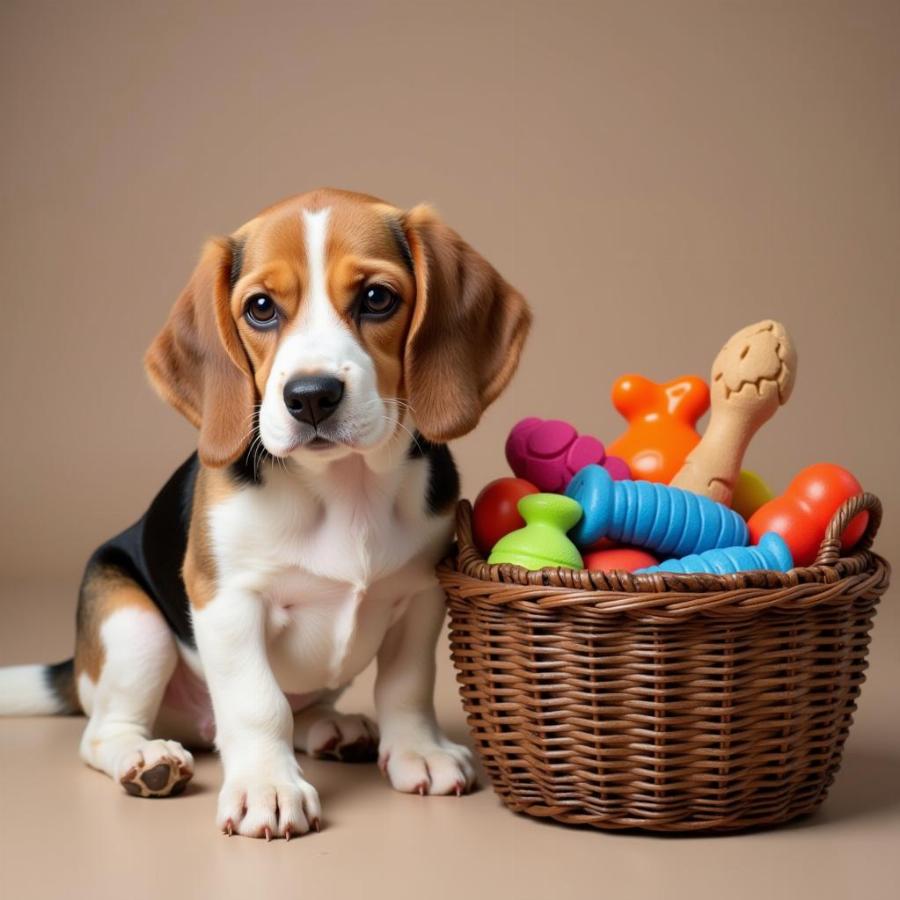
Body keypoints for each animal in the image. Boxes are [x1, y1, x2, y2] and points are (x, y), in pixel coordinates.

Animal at [0, 186, 532, 840]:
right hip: (132, 626)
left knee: (305, 708)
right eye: (260, 308)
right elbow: (258, 704)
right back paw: (146, 760)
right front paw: (266, 787)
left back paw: (333, 729)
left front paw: (418, 751)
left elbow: (406, 686)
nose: (311, 396)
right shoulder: (227, 600)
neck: (345, 486)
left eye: (377, 298)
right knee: (103, 733)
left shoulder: (421, 596)